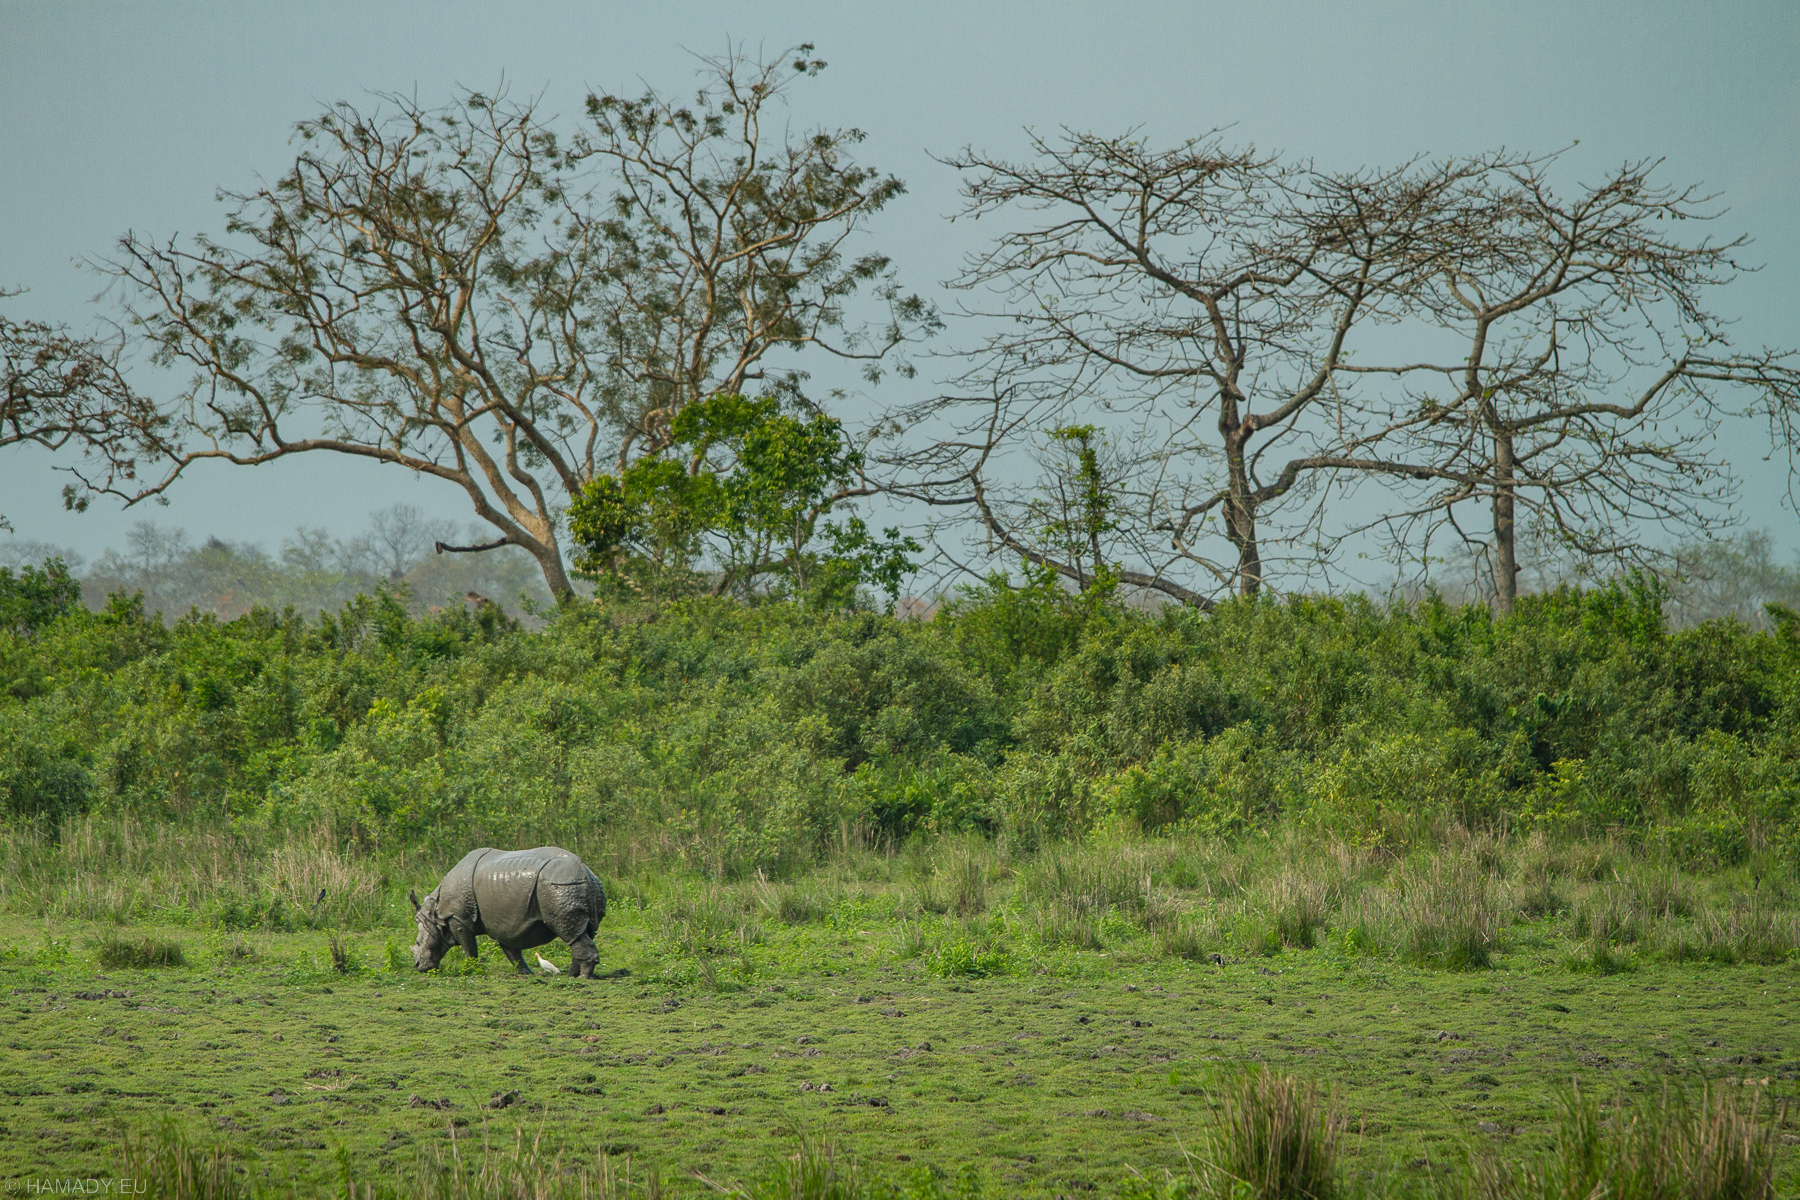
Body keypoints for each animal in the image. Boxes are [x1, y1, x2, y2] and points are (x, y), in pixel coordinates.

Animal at [408, 849, 604, 978]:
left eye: (418, 942)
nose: (419, 966)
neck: (435, 913)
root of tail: (585, 872)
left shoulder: (458, 918)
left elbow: (469, 947)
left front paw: (472, 968)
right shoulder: (504, 923)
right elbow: (512, 950)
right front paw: (525, 973)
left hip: (560, 886)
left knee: (570, 932)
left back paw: (582, 978)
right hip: (583, 885)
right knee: (582, 932)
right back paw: (572, 975)